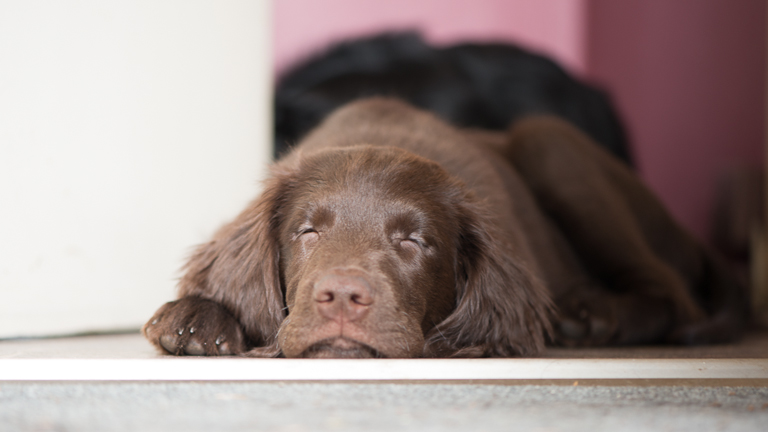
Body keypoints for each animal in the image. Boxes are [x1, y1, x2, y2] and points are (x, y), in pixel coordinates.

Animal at [141, 98, 748, 358]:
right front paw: (196, 317)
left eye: (414, 241)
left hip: (550, 143)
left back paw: (593, 316)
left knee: (671, 296)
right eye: (307, 233)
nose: (342, 299)